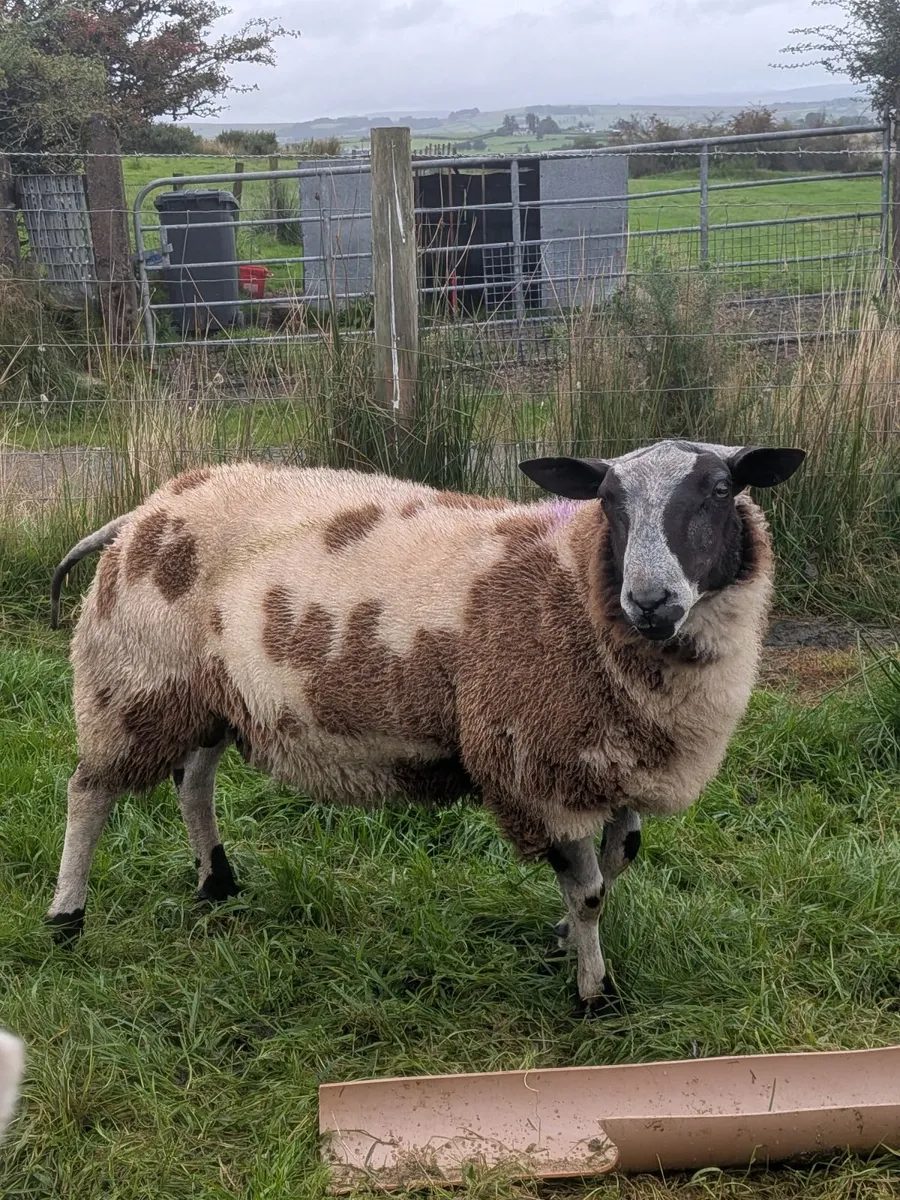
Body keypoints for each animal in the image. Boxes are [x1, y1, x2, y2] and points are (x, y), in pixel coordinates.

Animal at [46, 441, 805, 1003]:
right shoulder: (535, 766)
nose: (649, 599)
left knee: (193, 783)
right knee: (90, 792)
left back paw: (216, 883)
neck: (572, 584)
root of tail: (150, 505)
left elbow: (619, 862)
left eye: (720, 490)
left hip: (207, 692)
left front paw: (565, 937)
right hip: (133, 675)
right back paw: (66, 918)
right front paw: (594, 991)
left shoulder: (620, 761)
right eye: (610, 500)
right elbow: (589, 889)